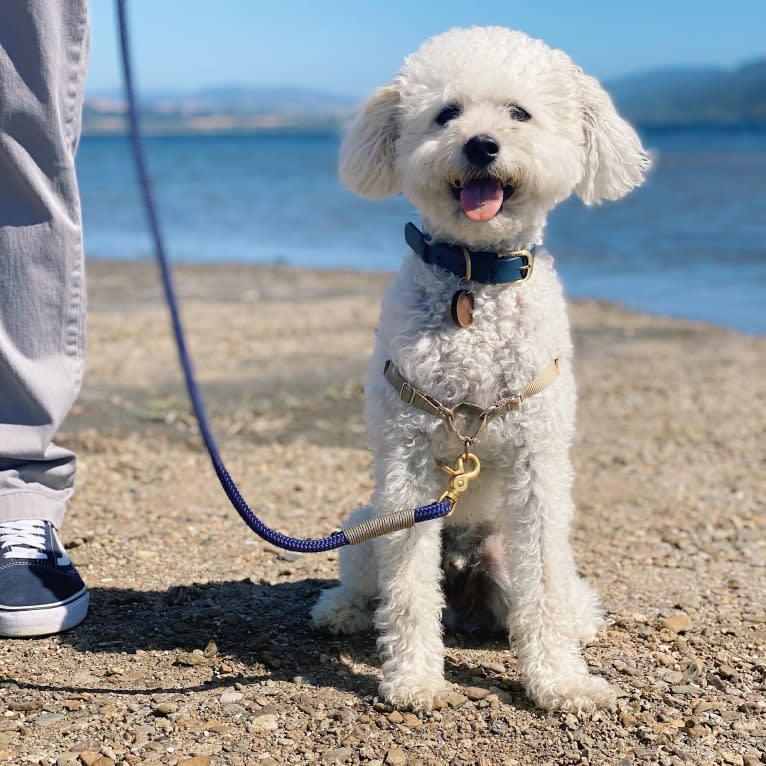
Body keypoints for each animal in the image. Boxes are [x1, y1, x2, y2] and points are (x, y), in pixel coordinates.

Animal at [312, 27, 648, 716]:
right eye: (447, 114)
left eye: (519, 113)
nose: (481, 143)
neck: (475, 279)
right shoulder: (408, 466)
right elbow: (408, 591)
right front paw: (415, 681)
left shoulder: (537, 464)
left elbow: (543, 587)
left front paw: (562, 682)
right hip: (365, 522)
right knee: (370, 584)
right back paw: (342, 611)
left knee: (557, 594)